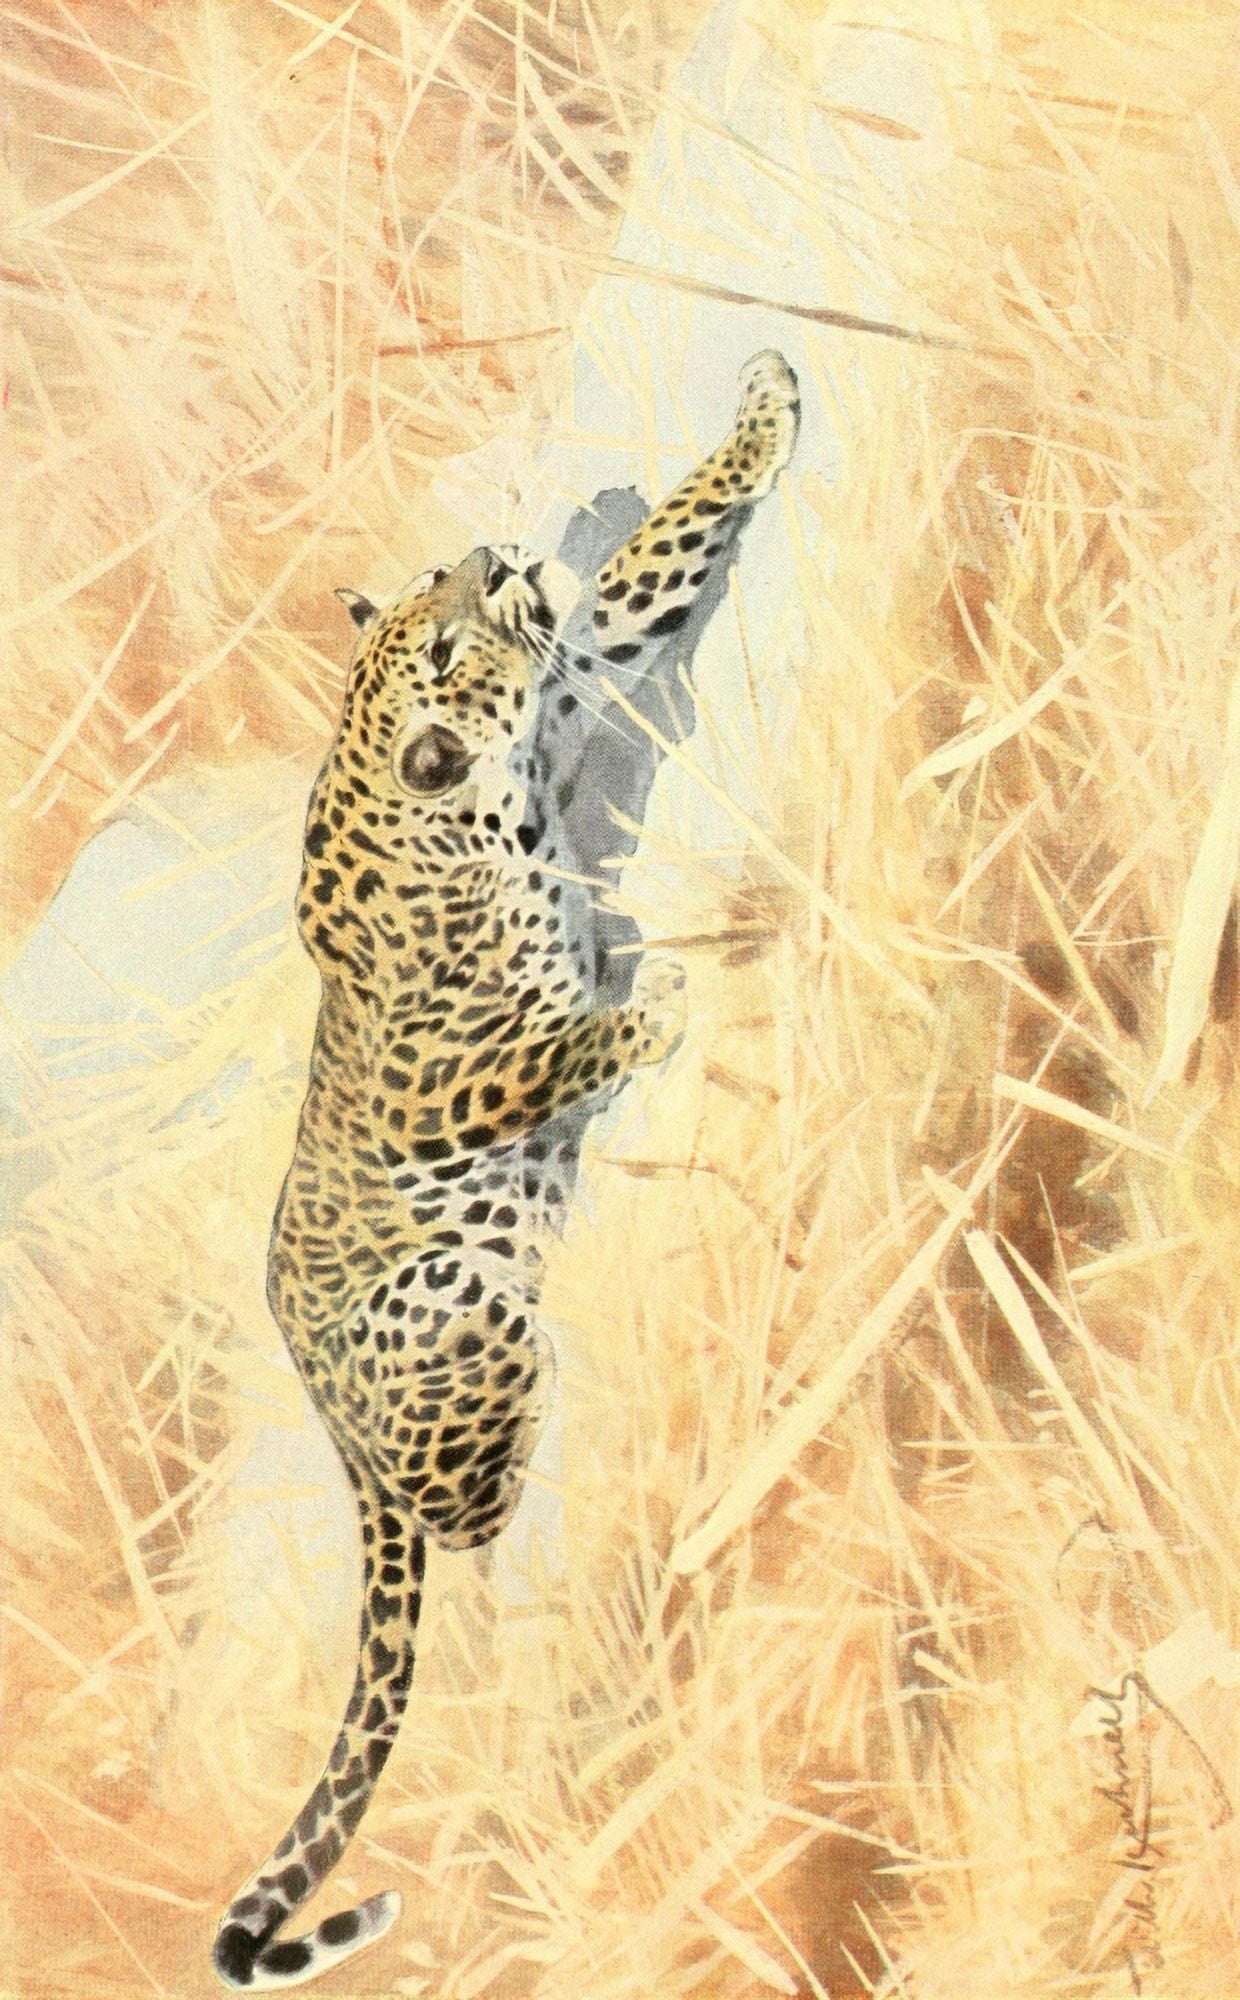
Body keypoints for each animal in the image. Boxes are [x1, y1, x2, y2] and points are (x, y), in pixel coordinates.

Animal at [212, 350, 801, 1989]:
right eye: (449, 630)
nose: (491, 552)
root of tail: (338, 1437)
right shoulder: (461, 1076)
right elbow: (559, 1050)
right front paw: (650, 1000)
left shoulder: (587, 658)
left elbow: (661, 549)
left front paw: (761, 403)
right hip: (447, 1297)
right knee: (472, 1525)